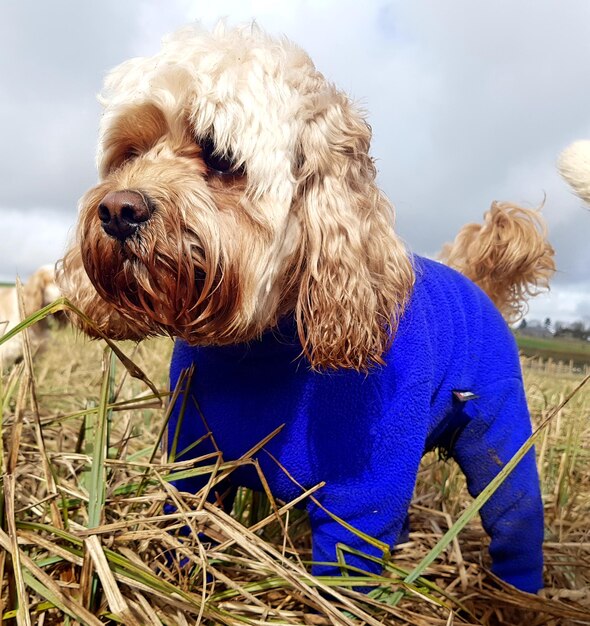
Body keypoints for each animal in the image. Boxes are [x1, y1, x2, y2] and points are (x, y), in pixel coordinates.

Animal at [57, 23, 556, 588]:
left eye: (220, 156)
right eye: (129, 152)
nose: (117, 210)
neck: (262, 346)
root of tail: (476, 283)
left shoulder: (362, 502)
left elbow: (346, 569)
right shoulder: (194, 462)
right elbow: (185, 528)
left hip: (502, 439)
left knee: (516, 516)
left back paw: (519, 589)